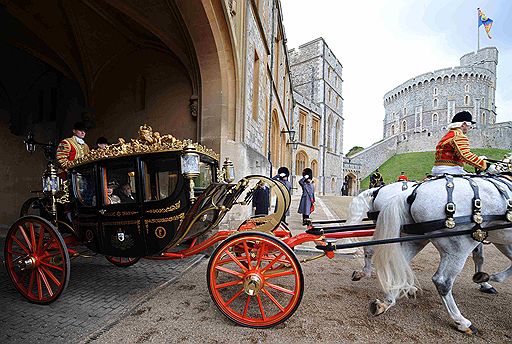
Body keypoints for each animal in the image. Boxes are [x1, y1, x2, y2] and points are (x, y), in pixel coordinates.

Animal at [346, 181, 502, 294]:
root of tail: (377, 190)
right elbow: (480, 257)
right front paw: (486, 281)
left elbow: (479, 257)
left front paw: (484, 282)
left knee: (373, 249)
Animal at [370, 175, 512, 334]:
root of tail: (412, 194)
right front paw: (488, 278)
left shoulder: (502, 240)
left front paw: (485, 279)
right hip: (458, 248)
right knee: (442, 281)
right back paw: (461, 321)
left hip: (416, 240)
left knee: (398, 266)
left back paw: (387, 301)